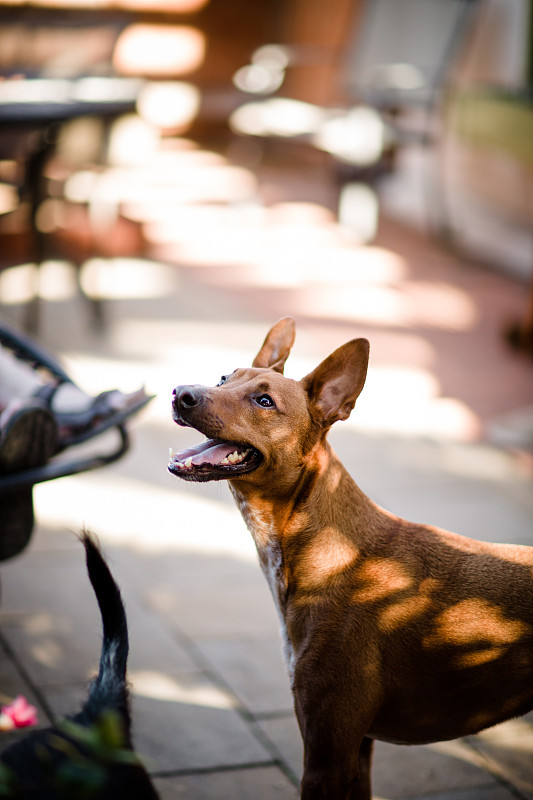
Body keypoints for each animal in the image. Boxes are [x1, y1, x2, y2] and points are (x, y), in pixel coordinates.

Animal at [168, 318, 532, 800]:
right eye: (225, 378)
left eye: (264, 401)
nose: (180, 393)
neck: (326, 548)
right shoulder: (356, 751)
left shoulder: (327, 758)